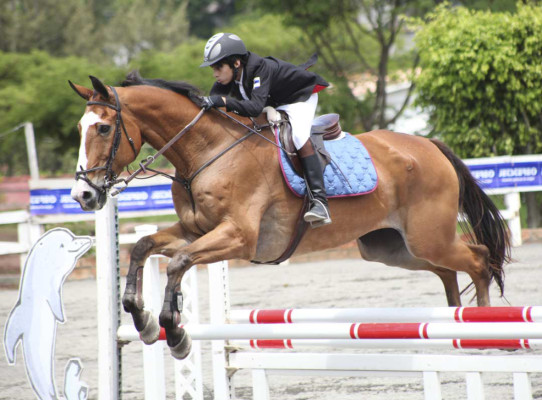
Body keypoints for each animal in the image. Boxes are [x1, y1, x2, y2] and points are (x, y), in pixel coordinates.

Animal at [69, 72, 516, 360]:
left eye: (104, 128)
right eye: (79, 127)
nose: (83, 195)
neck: (206, 150)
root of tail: (429, 145)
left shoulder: (237, 237)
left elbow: (178, 263)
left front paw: (175, 333)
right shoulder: (196, 231)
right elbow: (143, 246)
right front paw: (143, 321)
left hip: (428, 237)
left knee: (478, 259)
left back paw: (485, 330)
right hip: (394, 248)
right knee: (448, 270)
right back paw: (457, 324)